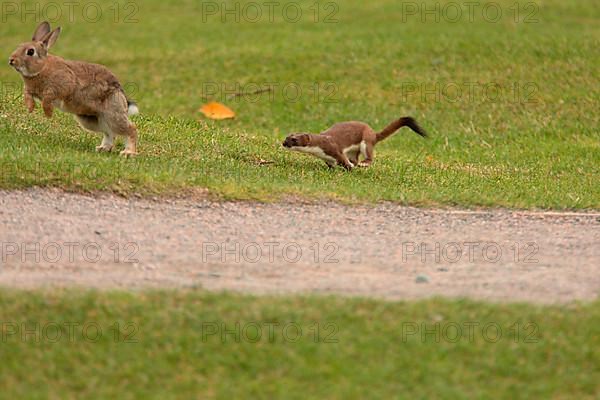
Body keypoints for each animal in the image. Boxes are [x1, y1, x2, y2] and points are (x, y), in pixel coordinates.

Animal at [8, 21, 140, 156]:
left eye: (30, 52)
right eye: (19, 46)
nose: (12, 60)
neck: (42, 67)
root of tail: (122, 95)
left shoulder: (61, 87)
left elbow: (47, 99)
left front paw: (48, 114)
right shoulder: (29, 90)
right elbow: (27, 95)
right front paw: (30, 108)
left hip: (112, 113)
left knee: (130, 129)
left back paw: (128, 153)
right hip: (91, 120)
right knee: (109, 132)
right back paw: (103, 148)